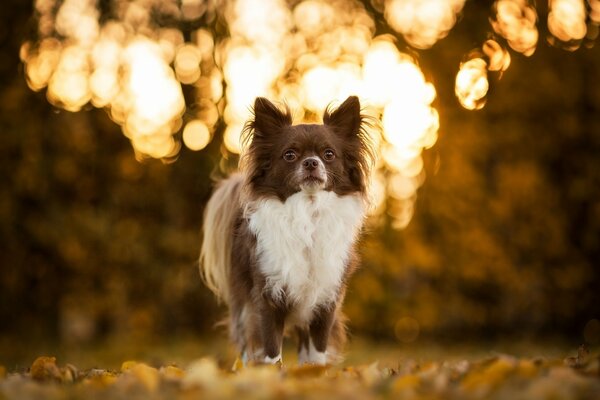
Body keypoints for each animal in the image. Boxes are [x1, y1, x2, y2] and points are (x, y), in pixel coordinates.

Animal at [199, 95, 372, 364]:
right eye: (289, 155)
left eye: (329, 154)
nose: (311, 162)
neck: (307, 213)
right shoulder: (267, 298)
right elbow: (271, 351)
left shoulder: (325, 301)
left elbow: (318, 351)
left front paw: (316, 371)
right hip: (243, 305)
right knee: (247, 342)